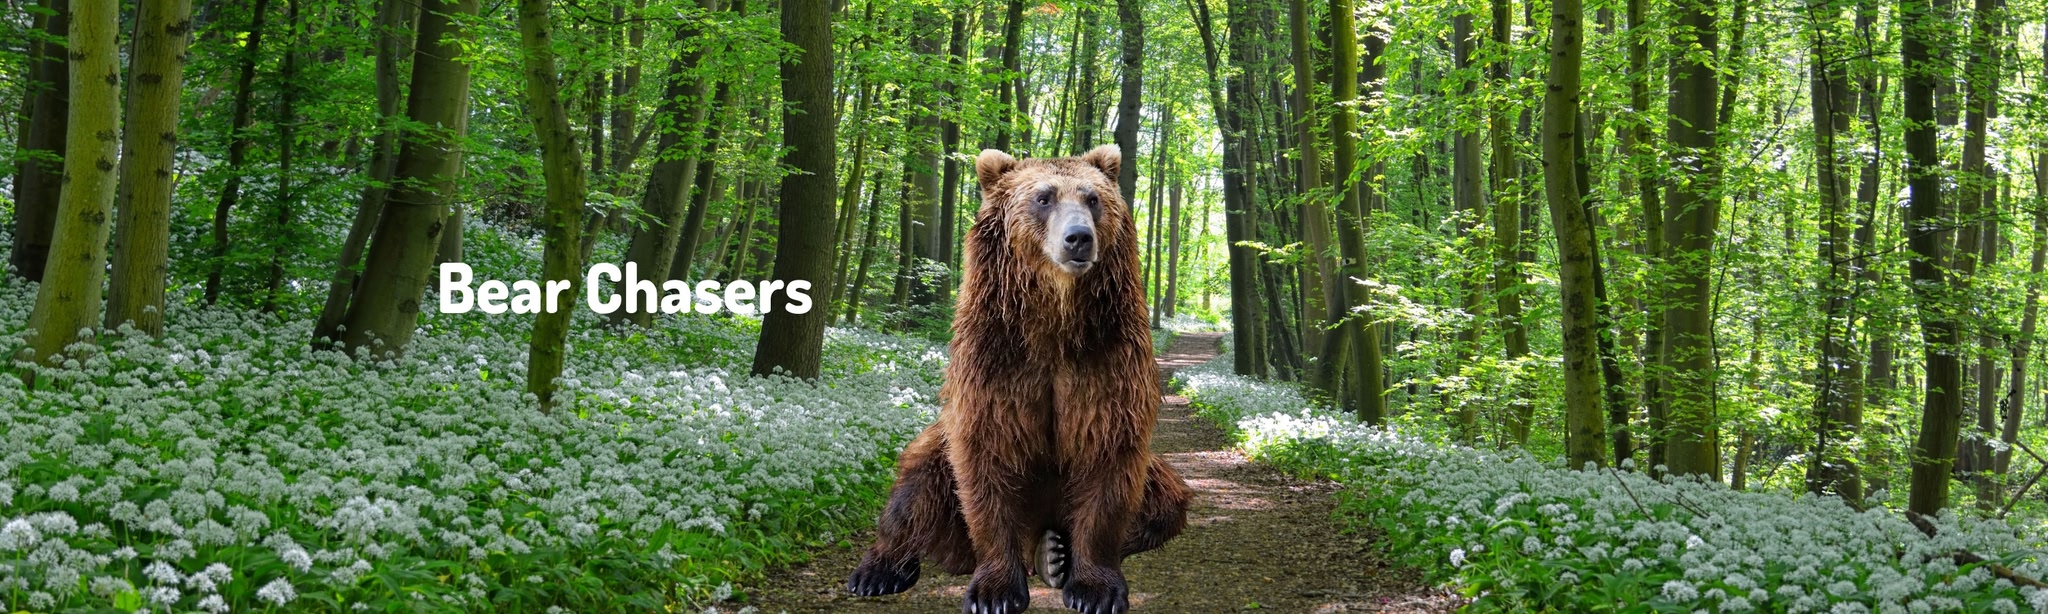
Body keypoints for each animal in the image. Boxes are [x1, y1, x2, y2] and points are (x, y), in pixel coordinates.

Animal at [845, 145, 1192, 614]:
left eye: (1092, 198)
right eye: (1044, 198)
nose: (1078, 238)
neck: (1054, 320)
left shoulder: (1105, 357)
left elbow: (1107, 454)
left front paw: (1094, 589)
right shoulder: (998, 360)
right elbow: (988, 458)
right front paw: (995, 592)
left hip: (1156, 476)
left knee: (1164, 501)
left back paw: (1054, 554)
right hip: (937, 452)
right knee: (914, 487)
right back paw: (877, 571)